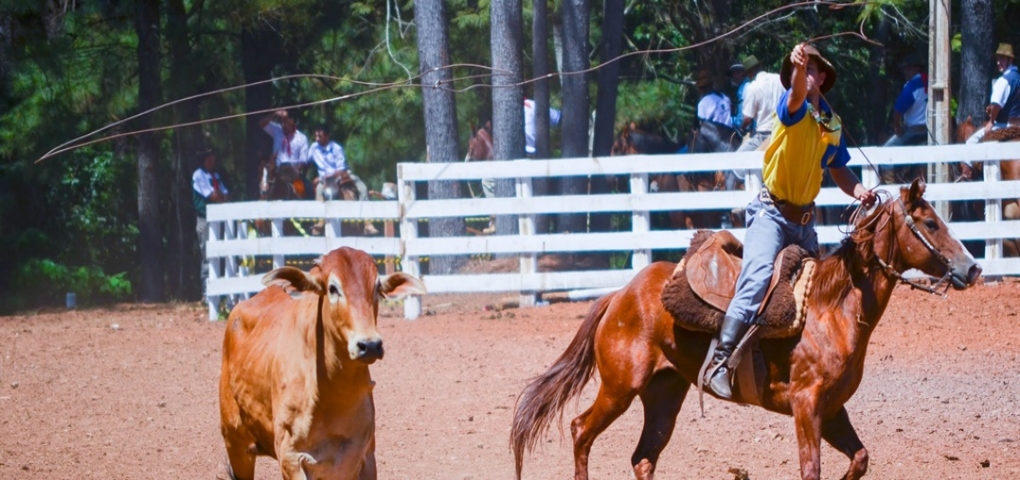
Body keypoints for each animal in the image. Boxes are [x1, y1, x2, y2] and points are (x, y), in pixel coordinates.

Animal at [221, 247, 428, 480]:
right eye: (333, 288)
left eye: (376, 287)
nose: (370, 345)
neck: (332, 395)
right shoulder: (291, 459)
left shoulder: (364, 457)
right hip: (236, 444)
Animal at [514, 179, 983, 480]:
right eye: (930, 223)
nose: (973, 268)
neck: (831, 308)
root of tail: (620, 295)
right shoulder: (807, 406)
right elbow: (811, 469)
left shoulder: (833, 409)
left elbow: (860, 459)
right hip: (619, 386)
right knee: (581, 431)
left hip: (664, 395)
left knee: (643, 458)